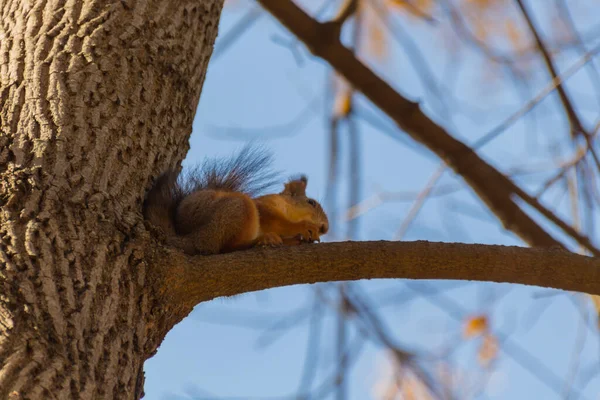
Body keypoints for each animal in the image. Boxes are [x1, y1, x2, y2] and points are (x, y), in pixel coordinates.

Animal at [142, 145, 328, 255]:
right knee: (225, 247)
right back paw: (259, 240)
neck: (287, 208)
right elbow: (278, 221)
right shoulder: (264, 207)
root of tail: (192, 238)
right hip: (238, 208)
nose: (325, 228)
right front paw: (304, 227)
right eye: (311, 203)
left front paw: (295, 239)